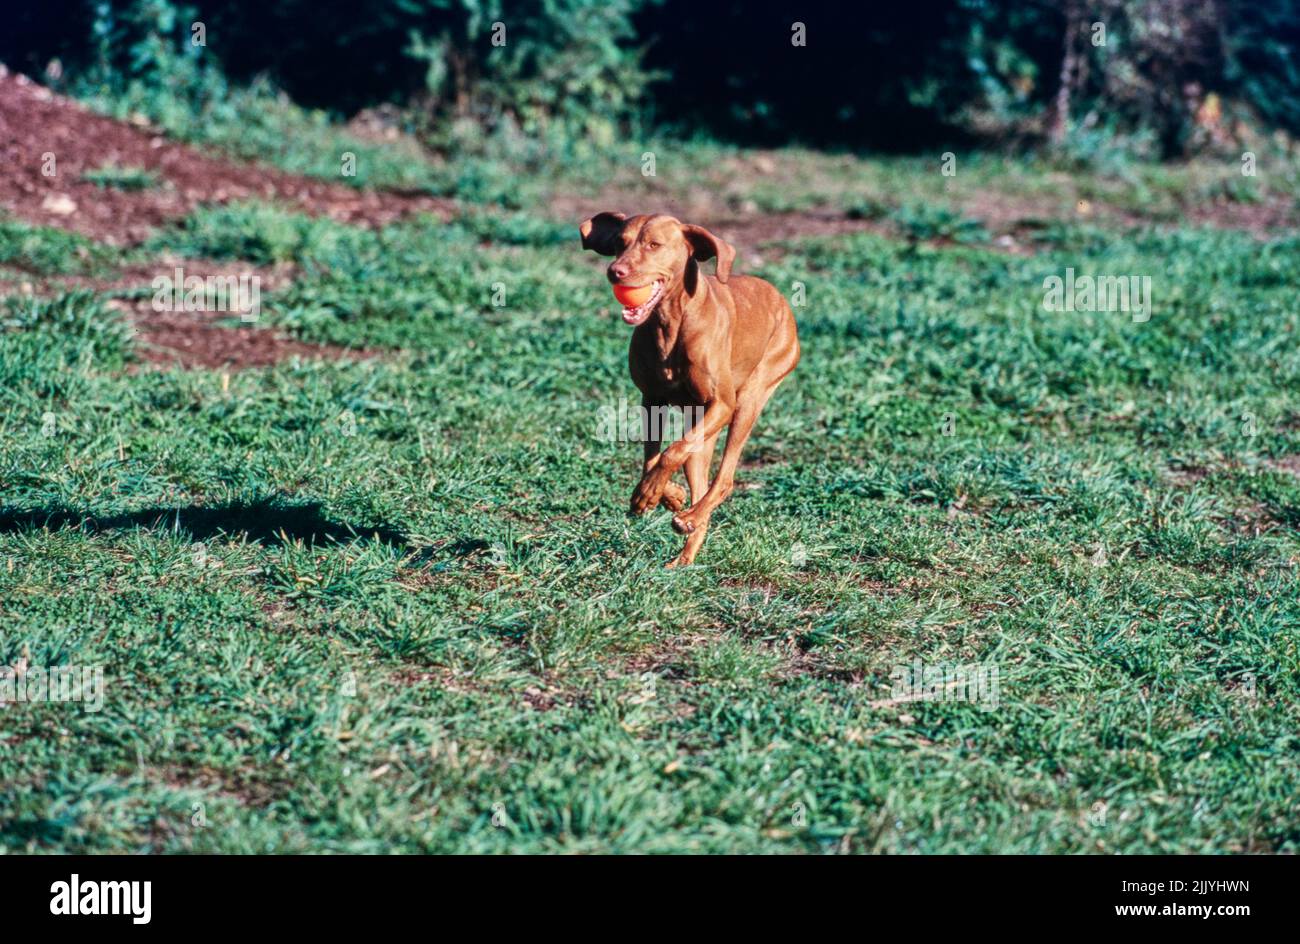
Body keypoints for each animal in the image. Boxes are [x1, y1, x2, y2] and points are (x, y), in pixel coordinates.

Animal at [582, 213, 800, 569]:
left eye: (654, 245)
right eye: (619, 243)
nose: (616, 272)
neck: (670, 322)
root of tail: (779, 297)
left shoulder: (722, 404)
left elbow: (669, 452)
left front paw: (652, 493)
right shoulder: (651, 401)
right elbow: (652, 459)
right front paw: (663, 494)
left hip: (749, 401)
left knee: (724, 479)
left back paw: (690, 519)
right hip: (701, 434)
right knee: (697, 476)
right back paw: (685, 552)